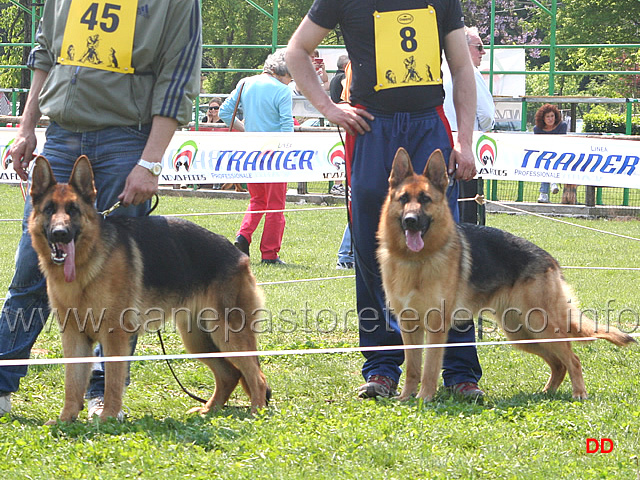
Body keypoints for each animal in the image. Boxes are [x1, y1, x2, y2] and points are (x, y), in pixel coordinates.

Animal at [28, 157, 268, 420]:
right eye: (49, 209)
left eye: (73, 210)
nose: (60, 234)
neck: (88, 263)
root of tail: (238, 255)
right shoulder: (73, 336)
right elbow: (72, 383)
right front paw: (66, 419)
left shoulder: (114, 336)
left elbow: (112, 381)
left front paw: (108, 417)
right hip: (198, 340)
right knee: (230, 374)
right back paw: (209, 410)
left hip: (229, 334)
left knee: (257, 376)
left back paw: (256, 413)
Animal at [378, 147, 632, 402]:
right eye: (403, 199)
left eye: (425, 200)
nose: (410, 221)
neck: (416, 260)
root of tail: (550, 261)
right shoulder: (408, 325)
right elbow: (412, 368)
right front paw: (405, 398)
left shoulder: (436, 326)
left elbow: (429, 368)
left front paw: (424, 398)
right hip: (521, 333)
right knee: (558, 364)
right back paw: (545, 393)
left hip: (540, 325)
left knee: (573, 360)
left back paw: (579, 393)